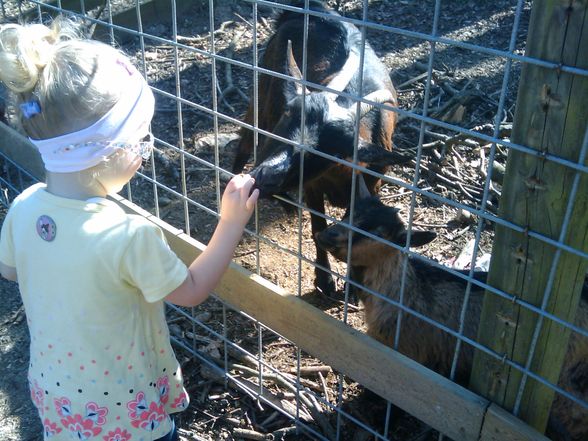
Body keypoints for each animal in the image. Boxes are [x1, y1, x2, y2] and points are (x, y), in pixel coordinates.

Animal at [232, 2, 406, 296]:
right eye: (290, 114)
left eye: (334, 149)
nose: (267, 175)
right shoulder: (312, 185)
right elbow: (316, 227)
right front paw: (324, 280)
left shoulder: (371, 187)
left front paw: (352, 282)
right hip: (262, 97)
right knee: (244, 142)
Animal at [316, 195, 588, 440]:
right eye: (348, 212)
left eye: (378, 233)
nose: (326, 236)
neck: (407, 293)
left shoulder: (408, 358)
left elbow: (396, 399)